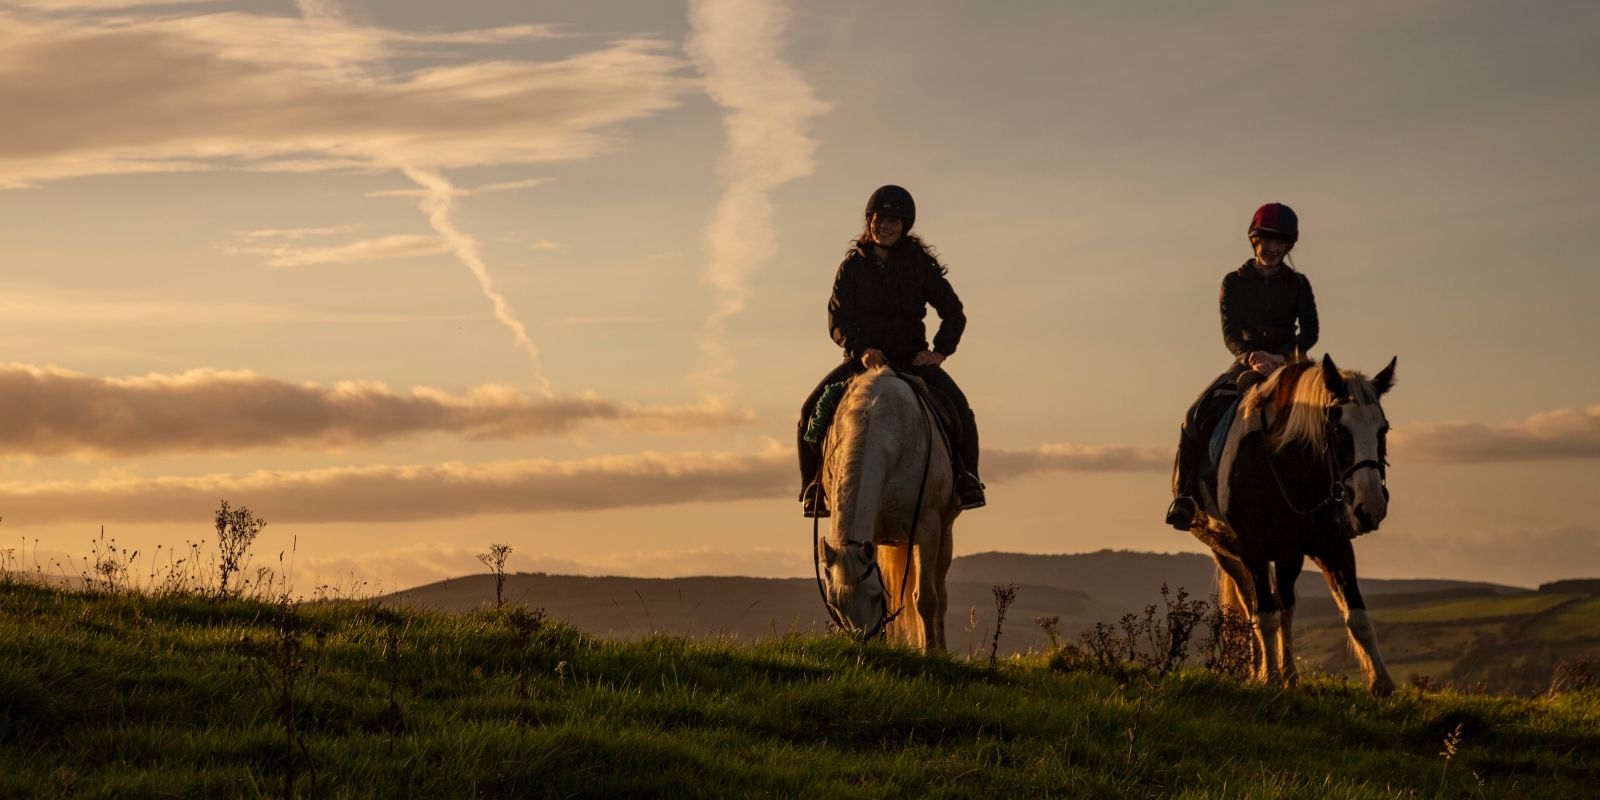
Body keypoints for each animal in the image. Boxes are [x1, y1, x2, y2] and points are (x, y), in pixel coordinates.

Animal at [819, 368, 953, 649]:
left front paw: (931, 652)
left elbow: (926, 598)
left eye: (873, 595)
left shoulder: (927, 528)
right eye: (835, 603)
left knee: (941, 593)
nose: (864, 643)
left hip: (945, 532)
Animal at [1196, 355, 1395, 694]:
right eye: (1338, 429)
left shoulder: (1334, 546)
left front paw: (1382, 683)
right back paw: (1261, 670)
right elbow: (1264, 616)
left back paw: (1289, 674)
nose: (1371, 507)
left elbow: (1357, 616)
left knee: (1285, 604)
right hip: (1226, 554)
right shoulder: (1253, 550)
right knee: (1252, 606)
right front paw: (1269, 678)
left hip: (1289, 554)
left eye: (1383, 429)